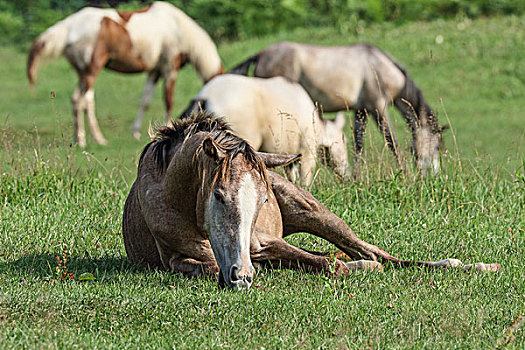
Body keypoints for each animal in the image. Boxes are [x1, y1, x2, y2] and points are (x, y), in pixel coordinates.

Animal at [27, 1, 223, 146]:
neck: (179, 28)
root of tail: (68, 26)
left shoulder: (154, 71)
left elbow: (145, 101)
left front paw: (136, 132)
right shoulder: (169, 68)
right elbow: (168, 101)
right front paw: (170, 128)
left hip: (84, 74)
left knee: (87, 102)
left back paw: (98, 138)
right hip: (91, 71)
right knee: (78, 100)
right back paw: (81, 140)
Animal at [122, 111, 500, 290]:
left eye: (263, 200)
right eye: (217, 194)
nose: (242, 276)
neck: (172, 194)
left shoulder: (261, 242)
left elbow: (328, 263)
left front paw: (357, 268)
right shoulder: (177, 258)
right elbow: (207, 266)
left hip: (315, 213)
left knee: (376, 253)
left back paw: (470, 265)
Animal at [179, 74, 348, 186]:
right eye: (344, 142)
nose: (347, 177)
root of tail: (203, 97)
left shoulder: (289, 155)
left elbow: (291, 176)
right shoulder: (307, 150)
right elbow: (305, 179)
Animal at [229, 41, 446, 176]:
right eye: (436, 145)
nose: (433, 174)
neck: (379, 67)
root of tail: (261, 54)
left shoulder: (361, 111)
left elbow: (359, 143)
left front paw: (356, 177)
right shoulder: (377, 107)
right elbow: (391, 140)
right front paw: (405, 174)